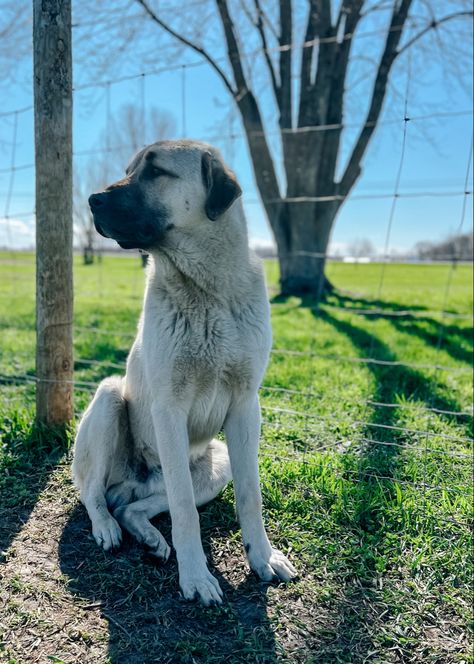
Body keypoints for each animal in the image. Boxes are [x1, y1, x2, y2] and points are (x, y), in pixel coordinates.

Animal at [72, 141, 296, 608]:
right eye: (129, 170)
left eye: (156, 171)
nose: (92, 200)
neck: (206, 289)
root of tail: (133, 483)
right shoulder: (169, 409)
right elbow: (183, 508)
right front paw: (195, 577)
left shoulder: (246, 406)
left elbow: (250, 496)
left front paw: (263, 557)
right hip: (109, 398)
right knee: (94, 493)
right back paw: (107, 528)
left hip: (217, 463)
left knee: (132, 506)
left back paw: (150, 536)